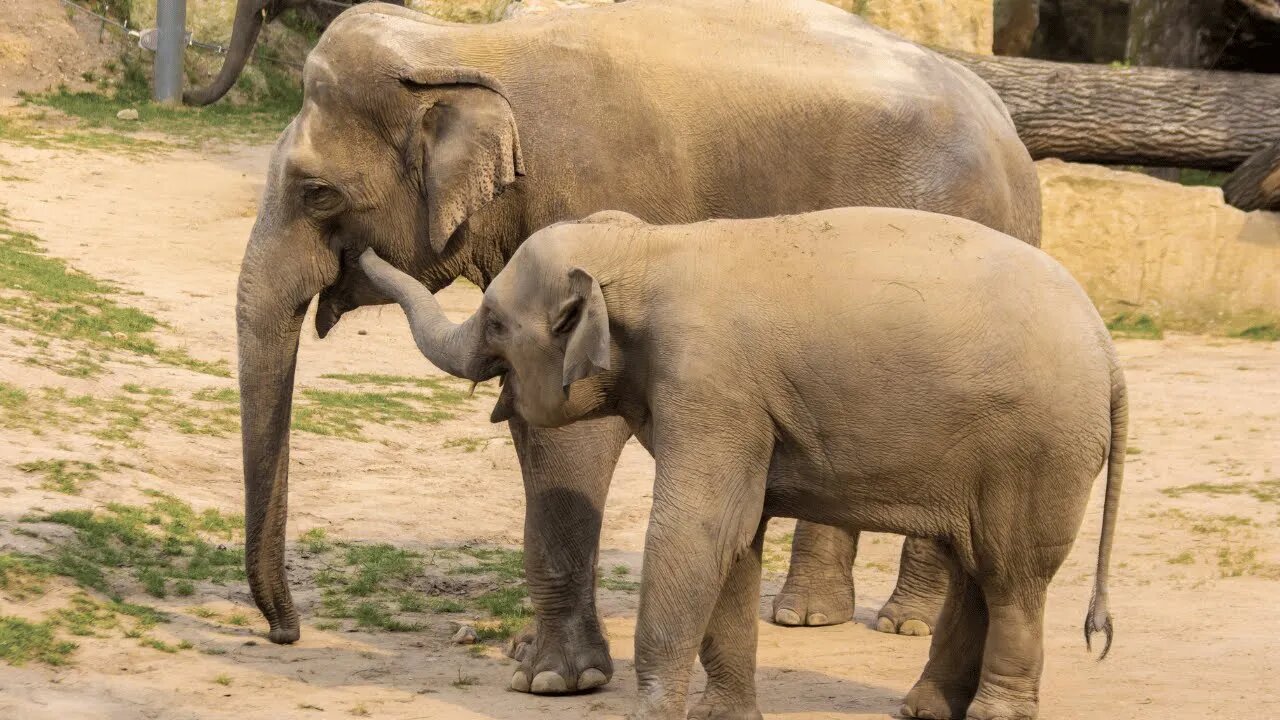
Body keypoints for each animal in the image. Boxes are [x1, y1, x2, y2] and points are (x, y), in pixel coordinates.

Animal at [238, 0, 1039, 696]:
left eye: (316, 193)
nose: (285, 634)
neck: (460, 46)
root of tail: (1012, 134)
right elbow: (535, 418)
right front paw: (531, 657)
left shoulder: (589, 196)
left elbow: (571, 431)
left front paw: (553, 680)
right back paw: (807, 614)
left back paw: (903, 622)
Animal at [358, 207, 1121, 717]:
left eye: (493, 321)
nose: (355, 239)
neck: (646, 247)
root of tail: (1108, 347)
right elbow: (736, 540)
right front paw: (720, 717)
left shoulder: (712, 383)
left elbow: (696, 532)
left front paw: (651, 716)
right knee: (978, 569)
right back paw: (924, 709)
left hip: (1039, 452)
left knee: (1013, 577)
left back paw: (990, 712)